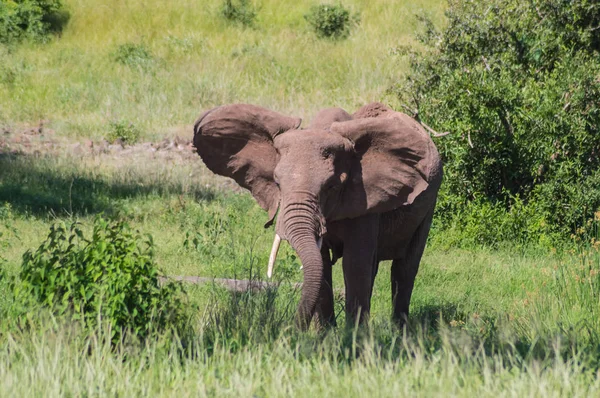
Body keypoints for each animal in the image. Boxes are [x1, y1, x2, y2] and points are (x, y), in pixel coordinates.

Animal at [192, 102, 440, 330]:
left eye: (331, 187)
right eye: (277, 183)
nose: (290, 332)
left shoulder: (366, 199)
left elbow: (355, 263)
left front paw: (353, 340)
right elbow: (322, 264)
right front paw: (325, 338)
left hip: (431, 201)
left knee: (405, 268)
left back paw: (400, 332)